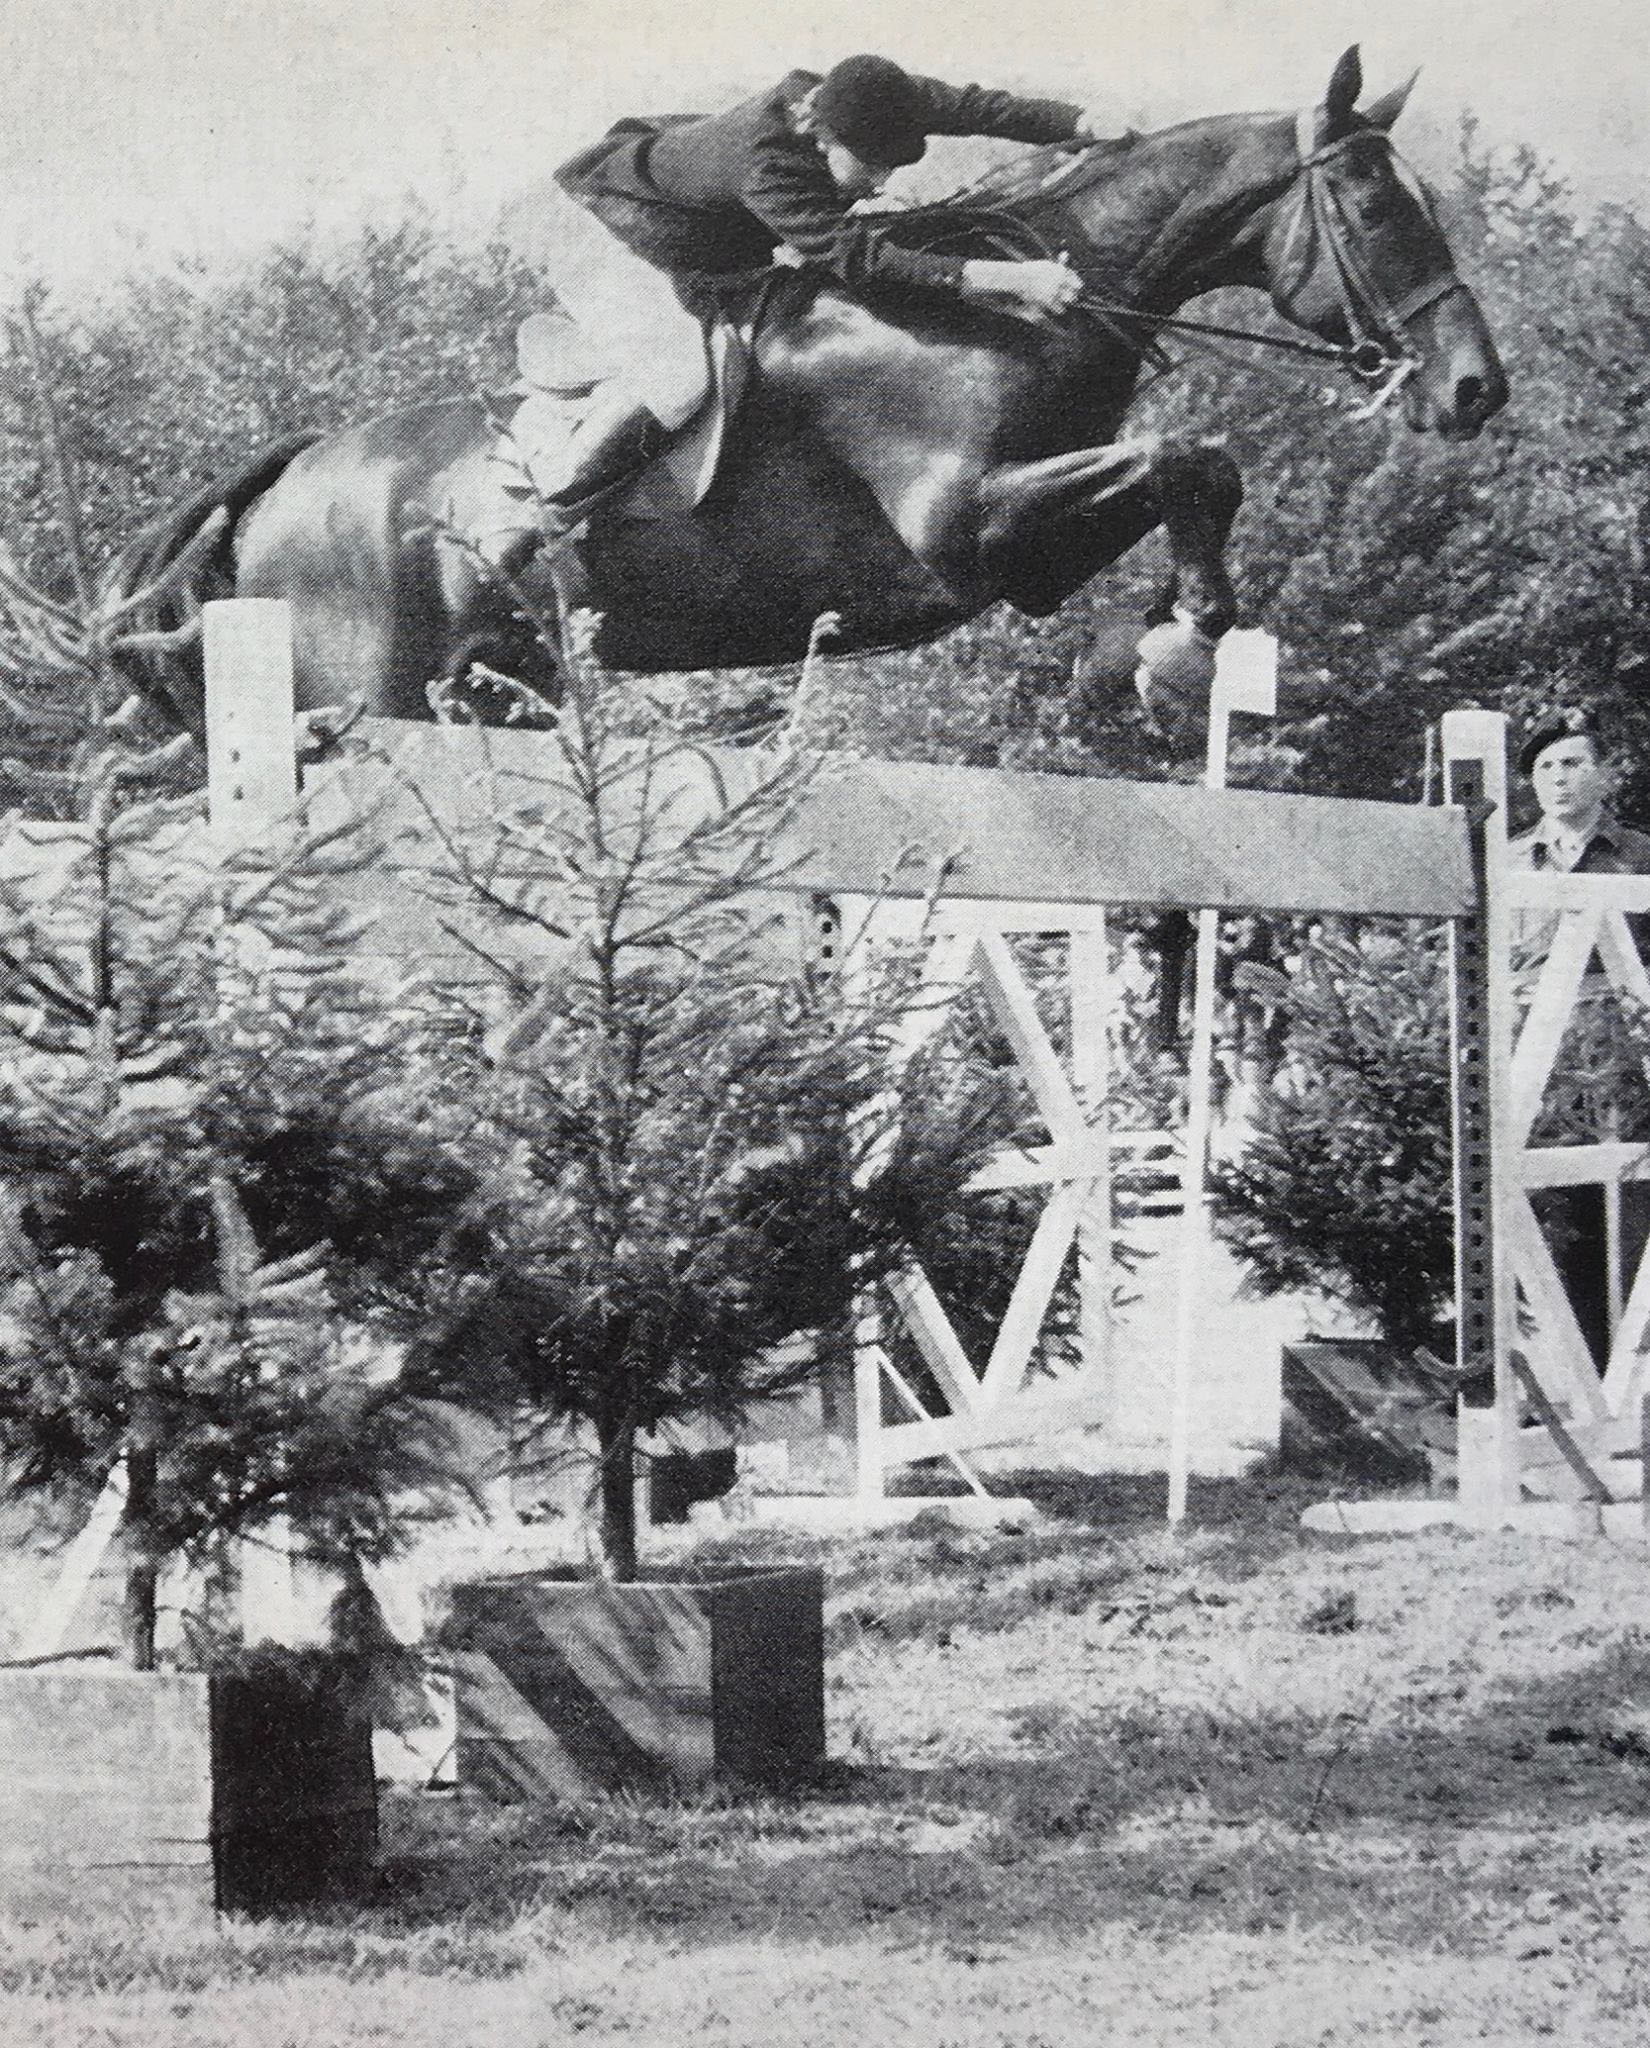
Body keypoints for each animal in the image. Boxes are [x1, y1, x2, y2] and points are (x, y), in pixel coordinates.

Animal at [110, 48, 1514, 741]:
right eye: (1376, 208)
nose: (1476, 392)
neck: (988, 317)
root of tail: (287, 477)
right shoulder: (966, 528)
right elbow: (1189, 456)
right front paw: (1188, 642)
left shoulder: (1025, 557)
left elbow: (1198, 471)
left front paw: (1160, 641)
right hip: (366, 699)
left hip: (495, 686)